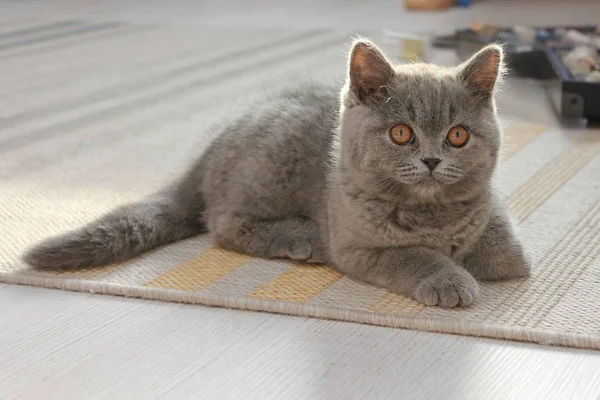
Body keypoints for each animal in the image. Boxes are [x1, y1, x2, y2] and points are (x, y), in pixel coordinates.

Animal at [23, 39, 528, 308]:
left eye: (458, 136)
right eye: (401, 133)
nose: (431, 160)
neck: (429, 213)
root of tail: (211, 144)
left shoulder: (490, 213)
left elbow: (508, 256)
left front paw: (479, 255)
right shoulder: (358, 246)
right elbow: (414, 255)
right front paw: (449, 279)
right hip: (270, 168)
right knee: (222, 223)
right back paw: (301, 237)